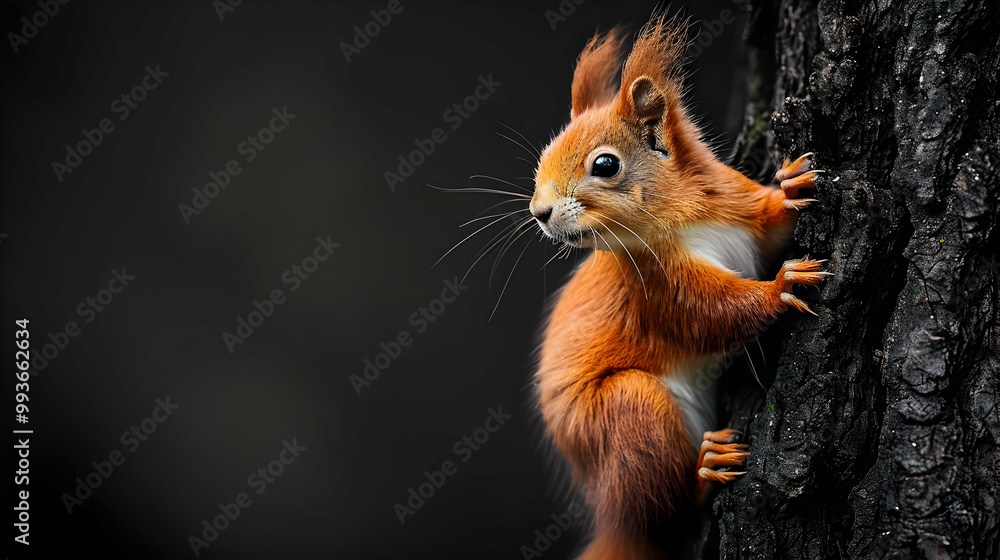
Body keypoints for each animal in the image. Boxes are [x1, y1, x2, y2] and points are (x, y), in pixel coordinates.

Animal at [529, 15, 826, 560]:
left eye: (605, 165)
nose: (539, 212)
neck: (681, 219)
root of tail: (617, 520)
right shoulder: (656, 288)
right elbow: (710, 314)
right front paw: (779, 287)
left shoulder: (737, 206)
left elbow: (771, 225)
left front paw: (790, 188)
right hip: (628, 415)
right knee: (664, 505)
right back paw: (705, 474)